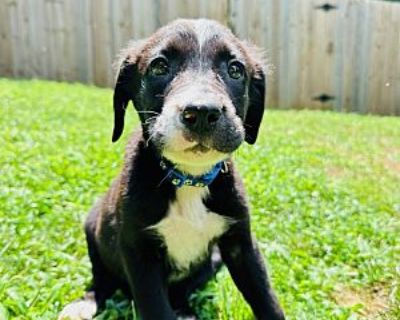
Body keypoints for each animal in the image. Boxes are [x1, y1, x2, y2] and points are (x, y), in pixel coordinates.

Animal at [58, 18, 284, 320]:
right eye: (159, 67)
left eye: (235, 70)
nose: (201, 112)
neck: (189, 179)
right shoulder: (139, 252)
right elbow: (156, 307)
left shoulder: (241, 245)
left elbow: (265, 297)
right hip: (94, 230)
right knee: (101, 278)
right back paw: (86, 303)